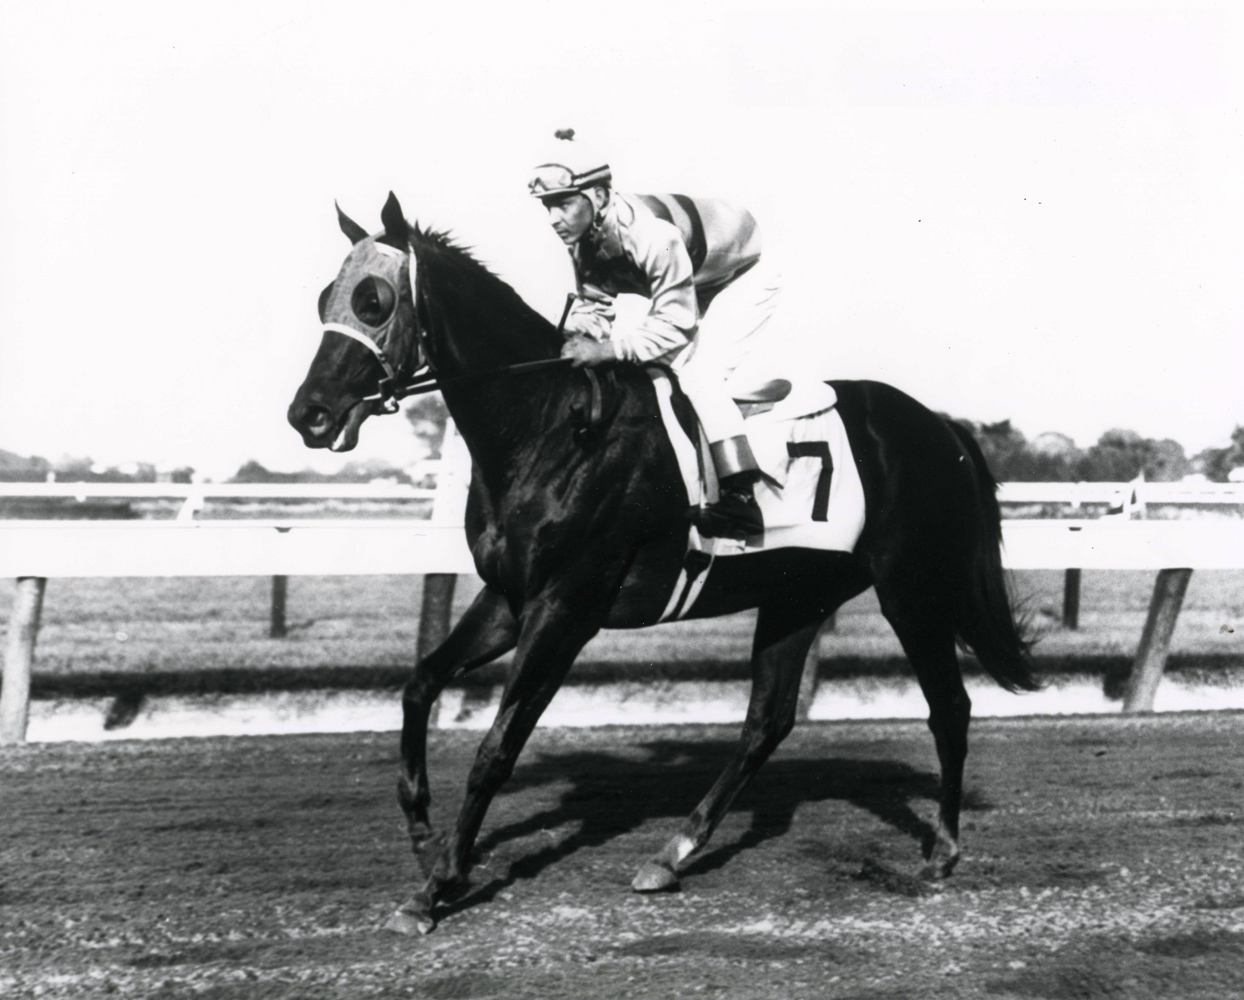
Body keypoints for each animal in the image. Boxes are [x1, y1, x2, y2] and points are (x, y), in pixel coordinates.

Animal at [286, 195, 1035, 935]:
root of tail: (942, 427)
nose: (308, 415)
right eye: (326, 296)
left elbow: (497, 747)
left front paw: (440, 881)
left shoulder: (566, 609)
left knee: (950, 707)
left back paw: (941, 851)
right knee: (767, 723)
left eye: (375, 300)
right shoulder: (508, 599)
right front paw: (422, 836)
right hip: (799, 595)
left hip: (912, 589)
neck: (549, 427)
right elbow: (419, 684)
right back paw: (673, 852)